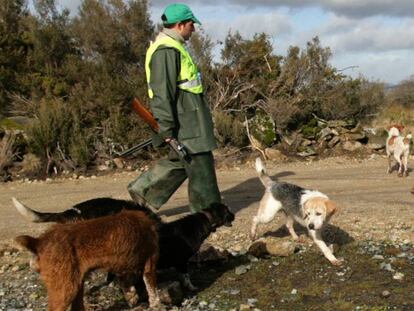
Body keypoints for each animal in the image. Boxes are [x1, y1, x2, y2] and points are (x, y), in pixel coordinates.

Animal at [14, 211, 161, 310]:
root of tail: (38, 242)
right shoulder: (150, 261)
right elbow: (151, 288)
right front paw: (155, 304)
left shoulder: (121, 267)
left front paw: (132, 297)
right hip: (66, 289)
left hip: (76, 284)